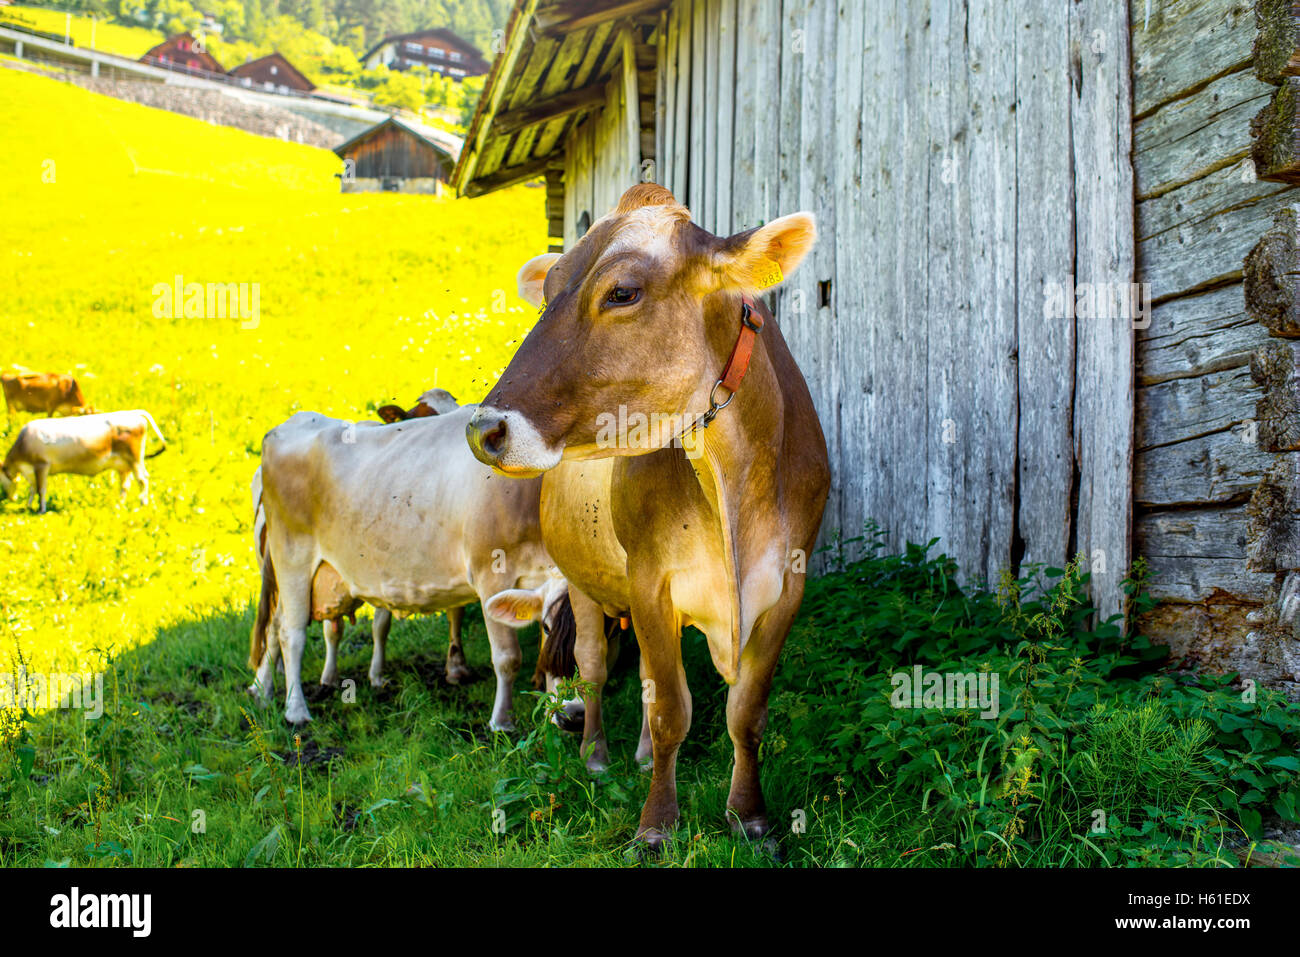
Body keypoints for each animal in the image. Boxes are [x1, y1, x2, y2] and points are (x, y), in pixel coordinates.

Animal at [0, 410, 167, 513]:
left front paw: (41, 510)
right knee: (125, 485)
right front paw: (28, 506)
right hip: (123, 465)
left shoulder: (41, 465)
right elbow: (33, 489)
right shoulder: (31, 470)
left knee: (143, 480)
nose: (8, 499)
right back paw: (119, 504)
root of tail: (133, 413)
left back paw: (142, 504)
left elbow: (41, 489)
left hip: (135, 459)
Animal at [248, 404, 556, 729]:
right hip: (293, 557)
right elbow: (508, 658)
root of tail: (287, 425)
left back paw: (263, 691)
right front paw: (502, 722)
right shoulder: (491, 575)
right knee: (291, 634)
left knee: (273, 626)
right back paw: (295, 710)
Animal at [466, 183, 830, 849]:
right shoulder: (650, 580)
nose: (484, 430)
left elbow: (746, 711)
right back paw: (597, 756)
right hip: (582, 584)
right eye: (547, 291)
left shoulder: (788, 584)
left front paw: (750, 816)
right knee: (594, 670)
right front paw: (657, 824)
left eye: (623, 292)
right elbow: (669, 711)